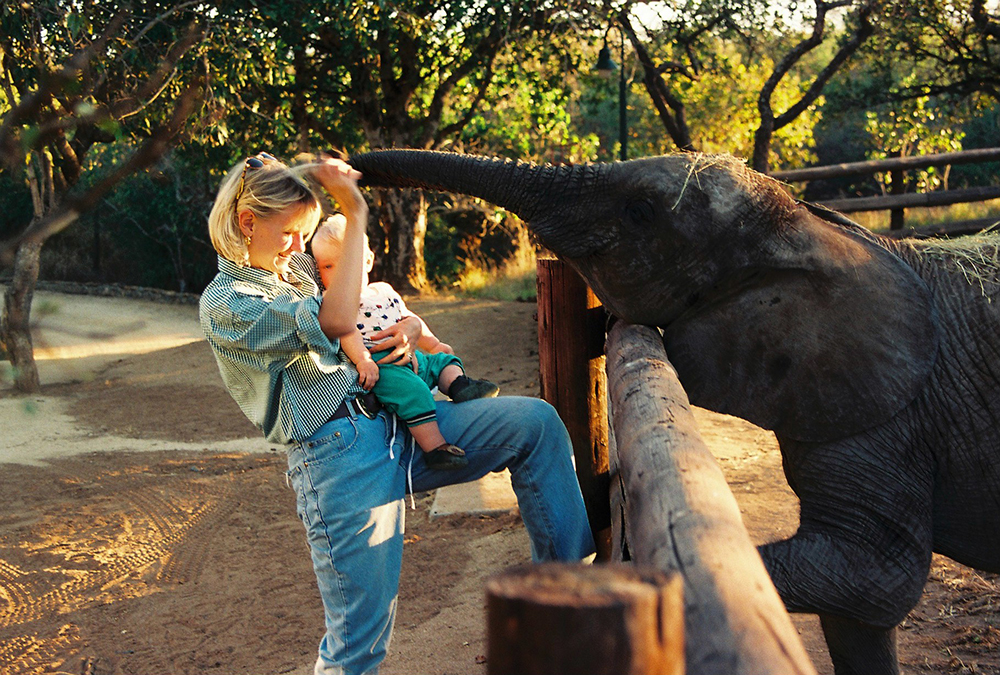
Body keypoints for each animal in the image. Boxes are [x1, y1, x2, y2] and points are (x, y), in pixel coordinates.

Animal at [347, 149, 1000, 675]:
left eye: (640, 211)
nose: (348, 167)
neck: (814, 229)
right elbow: (858, 611)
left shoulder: (895, 411)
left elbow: (868, 577)